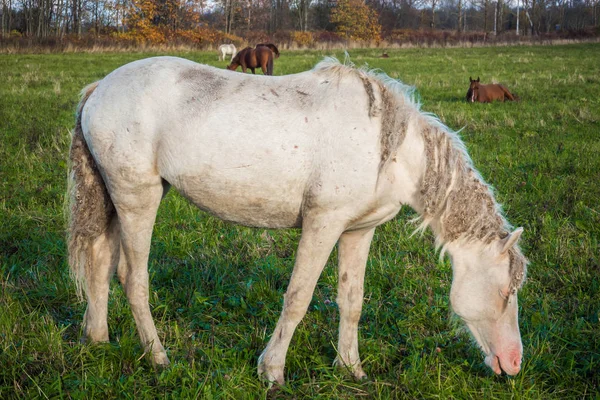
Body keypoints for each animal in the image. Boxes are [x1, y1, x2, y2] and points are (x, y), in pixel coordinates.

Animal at [68, 56, 528, 384]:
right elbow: (298, 297)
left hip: (117, 201)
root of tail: (99, 88)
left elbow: (352, 300)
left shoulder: (358, 231)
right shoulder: (322, 224)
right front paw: (272, 371)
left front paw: (350, 368)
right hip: (137, 199)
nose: (514, 363)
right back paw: (159, 357)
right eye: (506, 292)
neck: (390, 148)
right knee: (132, 277)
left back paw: (98, 340)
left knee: (99, 263)